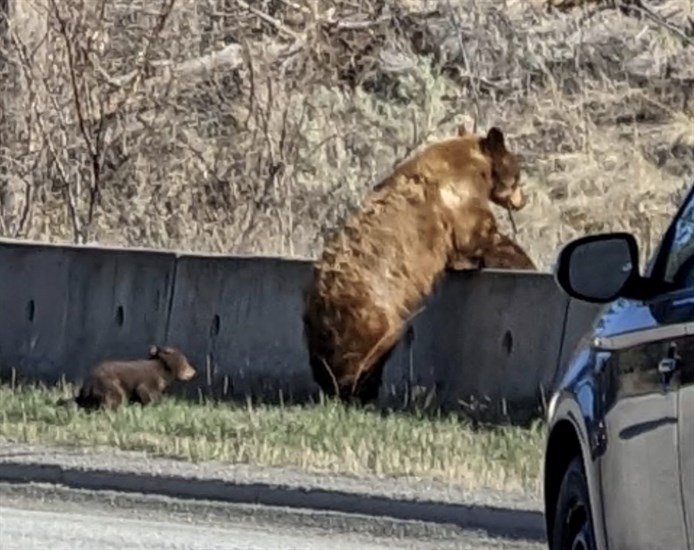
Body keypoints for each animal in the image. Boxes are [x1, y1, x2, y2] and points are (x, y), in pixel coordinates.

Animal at [304, 124, 528, 406]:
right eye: (517, 175)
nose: (523, 200)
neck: (475, 167)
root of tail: (322, 306)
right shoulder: (458, 201)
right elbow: (481, 236)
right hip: (374, 313)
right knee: (368, 355)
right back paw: (359, 392)